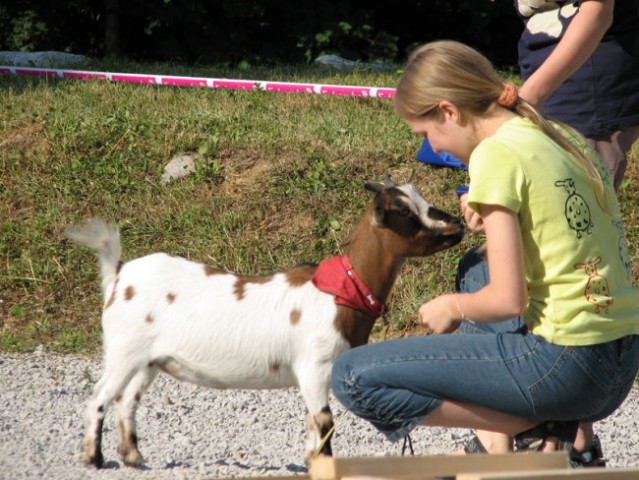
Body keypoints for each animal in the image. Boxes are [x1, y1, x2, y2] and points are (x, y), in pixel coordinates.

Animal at [66, 177, 464, 468]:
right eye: (405, 212)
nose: (457, 225)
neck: (339, 292)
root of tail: (118, 276)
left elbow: (312, 423)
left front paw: (310, 462)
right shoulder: (314, 366)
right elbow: (324, 421)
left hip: (148, 360)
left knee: (126, 401)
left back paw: (134, 458)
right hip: (123, 350)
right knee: (99, 397)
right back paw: (94, 459)